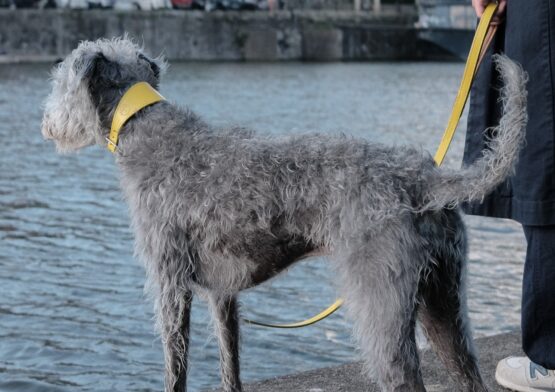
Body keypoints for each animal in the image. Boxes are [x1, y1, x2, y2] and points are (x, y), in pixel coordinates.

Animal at [41, 37, 528, 392]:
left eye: (60, 78)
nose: (46, 123)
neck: (147, 132)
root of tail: (422, 176)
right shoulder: (223, 292)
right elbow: (230, 362)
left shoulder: (170, 283)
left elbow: (175, 366)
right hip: (445, 303)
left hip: (383, 306)